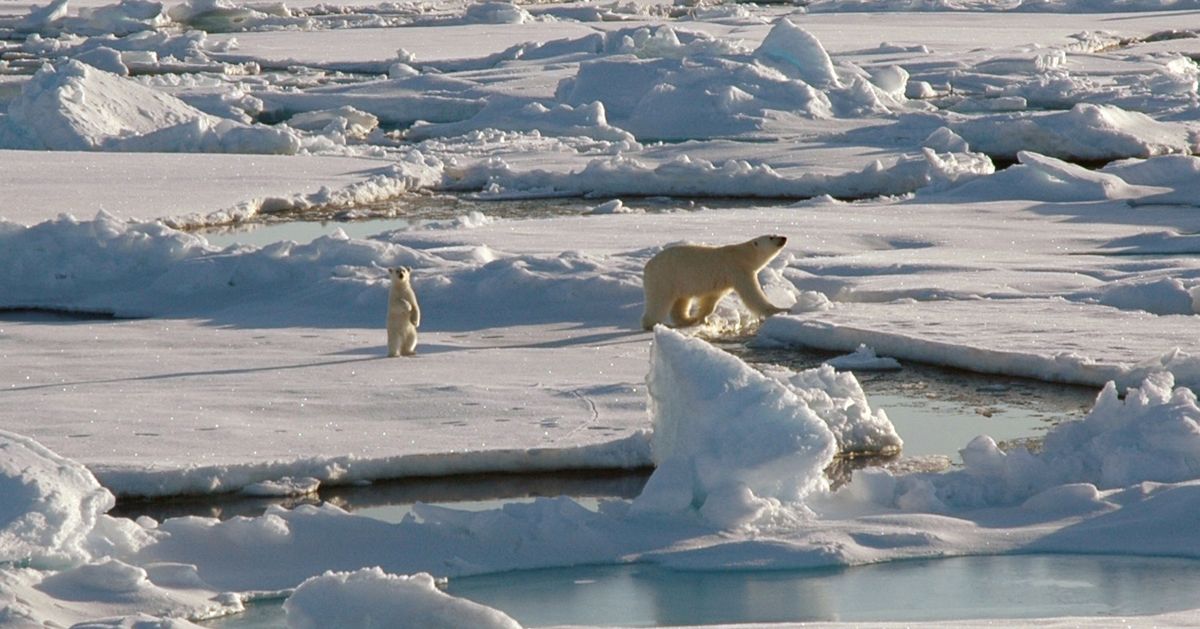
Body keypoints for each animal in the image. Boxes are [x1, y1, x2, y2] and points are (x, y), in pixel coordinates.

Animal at [643, 231, 792, 328]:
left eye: (775, 234)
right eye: (771, 237)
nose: (784, 238)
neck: (743, 255)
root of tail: (648, 266)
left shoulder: (723, 281)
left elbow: (711, 300)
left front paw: (703, 318)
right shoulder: (738, 270)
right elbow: (753, 295)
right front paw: (780, 309)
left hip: (679, 281)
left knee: (681, 301)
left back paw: (688, 319)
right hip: (665, 277)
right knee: (659, 300)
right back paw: (654, 323)